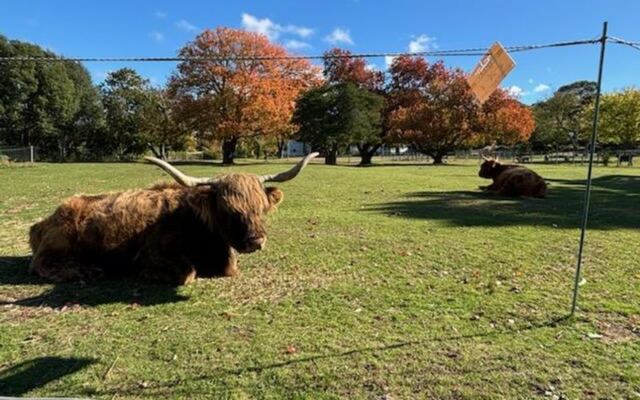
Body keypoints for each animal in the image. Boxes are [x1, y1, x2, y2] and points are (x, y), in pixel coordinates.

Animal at [28, 153, 318, 285]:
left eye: (261, 208)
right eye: (227, 209)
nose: (256, 241)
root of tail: (42, 221)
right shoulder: (150, 252)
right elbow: (187, 273)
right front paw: (146, 273)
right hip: (58, 245)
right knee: (40, 264)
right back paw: (88, 270)